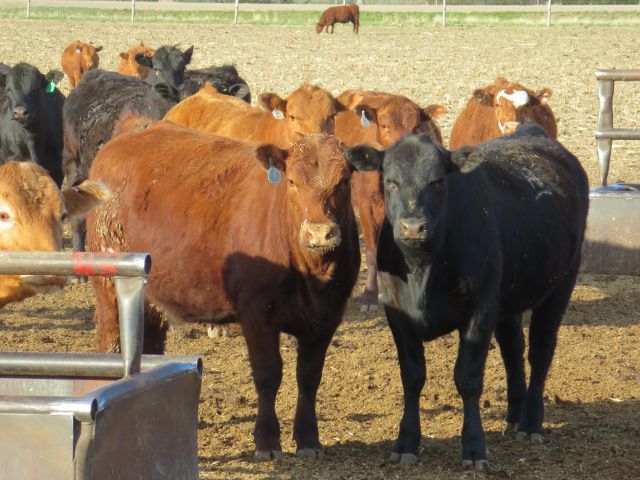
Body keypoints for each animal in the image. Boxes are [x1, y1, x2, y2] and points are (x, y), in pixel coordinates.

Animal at [63, 45, 193, 254]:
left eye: (182, 68)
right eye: (156, 67)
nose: (169, 89)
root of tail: (95, 75)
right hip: (73, 162)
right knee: (78, 218)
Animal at [86, 118, 360, 460]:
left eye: (344, 180)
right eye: (293, 182)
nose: (319, 233)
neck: (313, 273)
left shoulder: (328, 316)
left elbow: (309, 378)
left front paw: (309, 439)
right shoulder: (256, 313)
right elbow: (268, 374)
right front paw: (267, 441)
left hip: (149, 303)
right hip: (110, 289)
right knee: (110, 344)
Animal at [346, 123, 589, 469]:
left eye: (437, 181)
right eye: (390, 181)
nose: (413, 227)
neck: (422, 268)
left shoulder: (480, 311)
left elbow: (468, 379)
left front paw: (474, 447)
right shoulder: (396, 313)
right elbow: (412, 377)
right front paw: (406, 442)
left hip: (560, 285)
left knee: (541, 351)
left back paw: (530, 422)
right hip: (508, 298)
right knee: (514, 349)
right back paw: (515, 414)